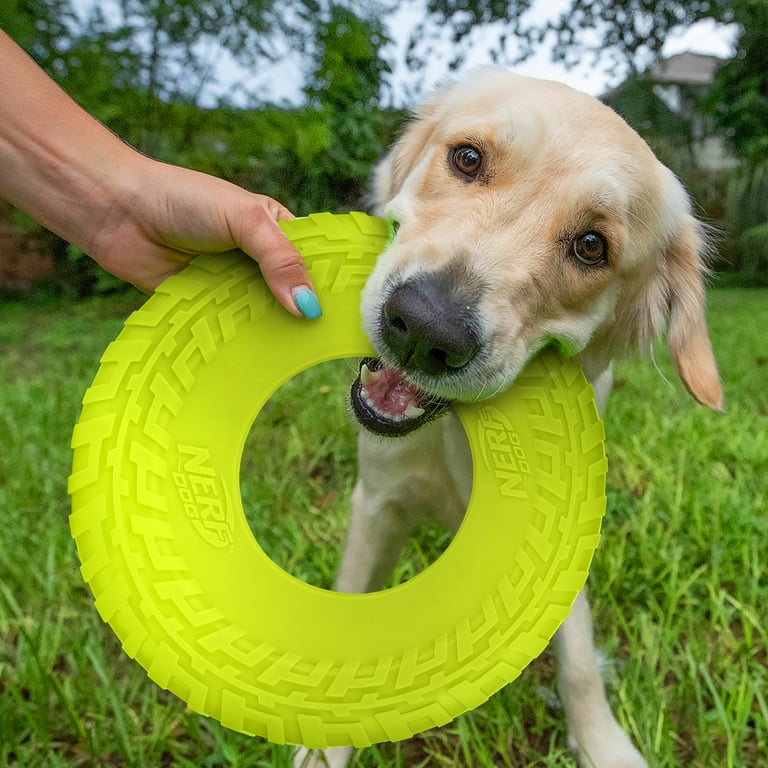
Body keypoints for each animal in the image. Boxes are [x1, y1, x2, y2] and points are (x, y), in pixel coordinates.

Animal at [294, 67, 720, 768]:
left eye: (592, 246)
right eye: (468, 159)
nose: (424, 330)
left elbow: (579, 660)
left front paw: (601, 741)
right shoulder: (376, 503)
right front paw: (325, 746)